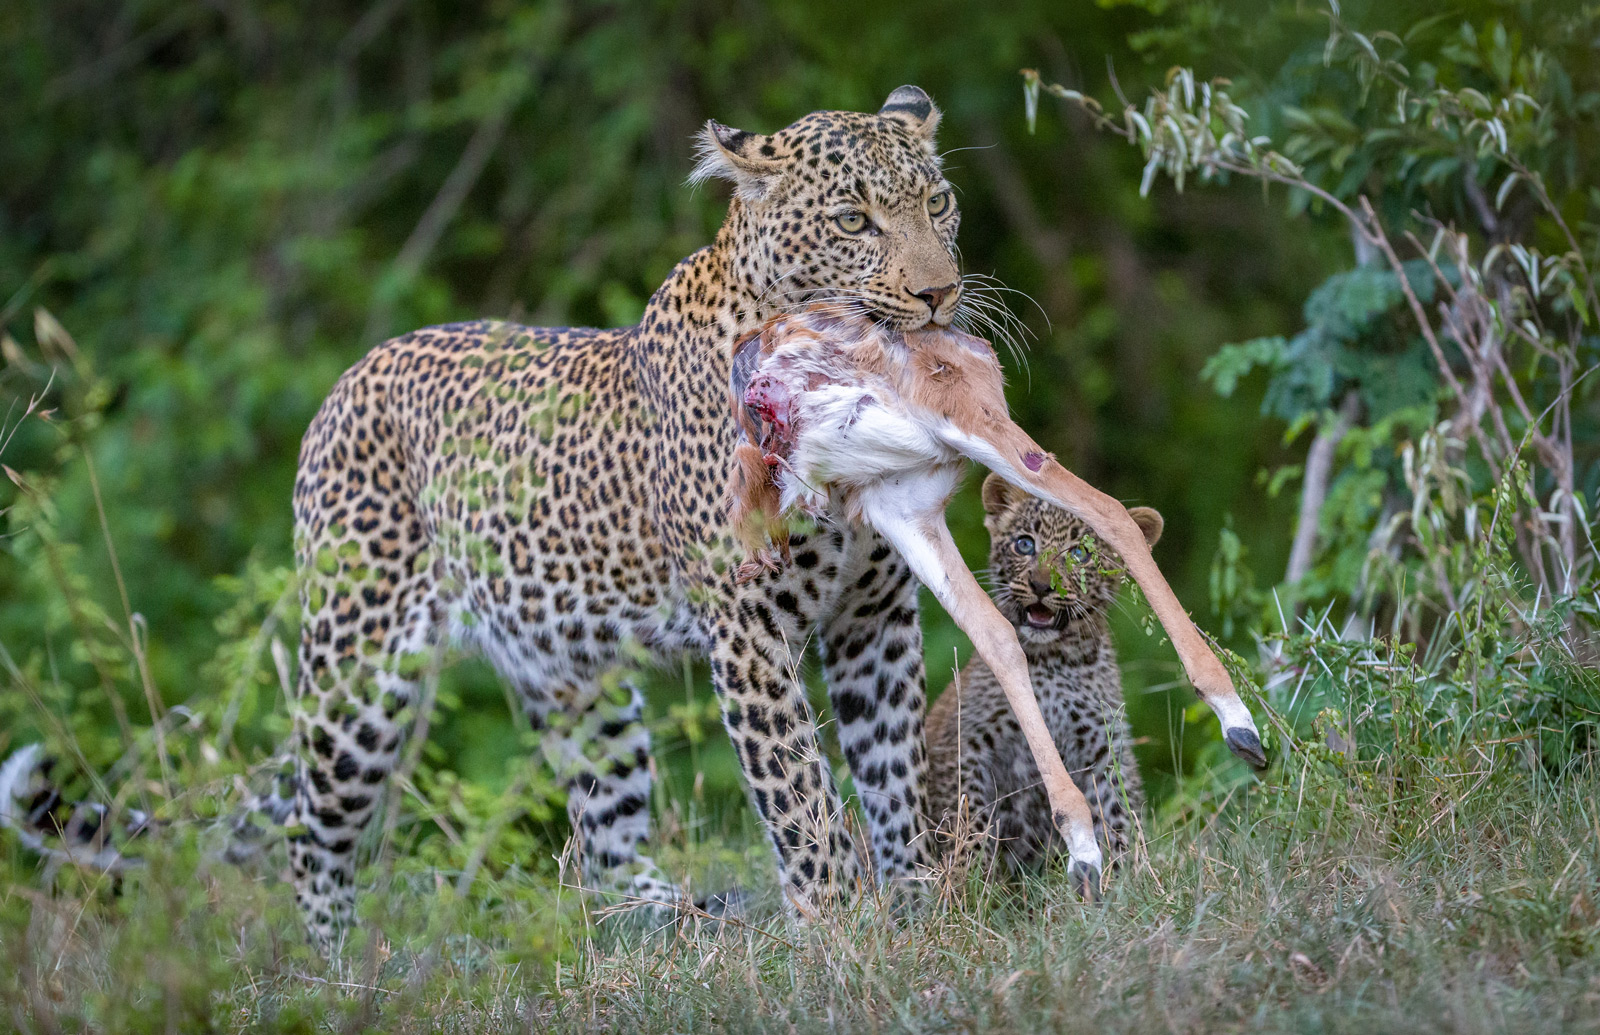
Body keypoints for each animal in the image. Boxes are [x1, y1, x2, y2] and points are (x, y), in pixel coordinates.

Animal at [286, 91, 960, 947]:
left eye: (936, 204)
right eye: (852, 220)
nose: (941, 293)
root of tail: (347, 379)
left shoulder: (873, 615)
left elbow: (891, 762)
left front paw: (919, 904)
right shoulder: (748, 628)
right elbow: (796, 787)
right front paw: (837, 923)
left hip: (573, 673)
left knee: (604, 832)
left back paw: (671, 919)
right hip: (361, 666)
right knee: (309, 822)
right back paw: (335, 958)